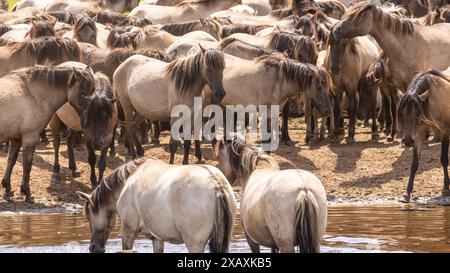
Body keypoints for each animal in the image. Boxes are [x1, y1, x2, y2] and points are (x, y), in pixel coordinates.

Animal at [0, 63, 96, 201]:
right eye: (83, 93)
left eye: (94, 90)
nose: (89, 120)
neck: (32, 94)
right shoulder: (30, 137)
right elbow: (27, 165)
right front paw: (26, 192)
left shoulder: (16, 138)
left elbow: (11, 161)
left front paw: (7, 187)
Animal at [77, 156, 237, 252]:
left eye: (89, 216)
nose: (93, 248)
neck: (130, 179)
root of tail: (215, 183)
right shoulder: (157, 238)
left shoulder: (128, 230)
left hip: (194, 243)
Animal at [398, 66, 450, 201]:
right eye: (402, 113)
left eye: (417, 113)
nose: (407, 140)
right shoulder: (418, 134)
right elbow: (414, 163)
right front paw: (407, 192)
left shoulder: (445, 133)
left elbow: (444, 159)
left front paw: (446, 188)